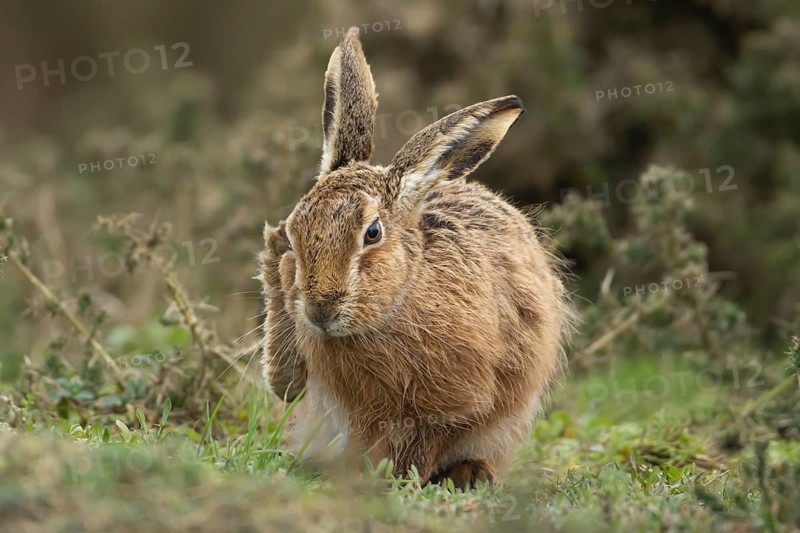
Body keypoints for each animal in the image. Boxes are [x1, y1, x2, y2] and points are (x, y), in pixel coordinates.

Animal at [260, 27, 569, 489]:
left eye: (372, 233)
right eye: (292, 233)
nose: (319, 309)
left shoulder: (454, 406)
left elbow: (427, 441)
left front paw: (391, 480)